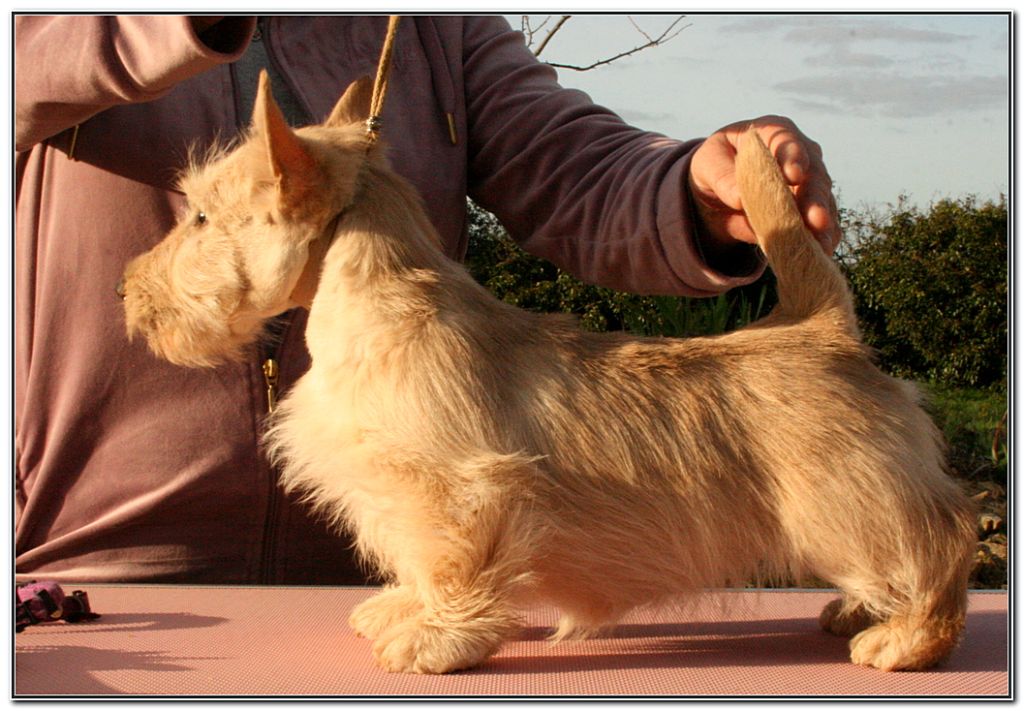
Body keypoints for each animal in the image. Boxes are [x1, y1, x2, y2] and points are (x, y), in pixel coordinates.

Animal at [119, 72, 974, 672]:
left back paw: (906, 638)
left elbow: (455, 566)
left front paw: (438, 641)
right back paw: (861, 612)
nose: (126, 288)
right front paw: (401, 612)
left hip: (849, 505)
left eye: (201, 215)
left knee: (944, 543)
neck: (379, 303)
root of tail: (824, 327)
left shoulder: (462, 489)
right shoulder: (399, 491)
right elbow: (418, 563)